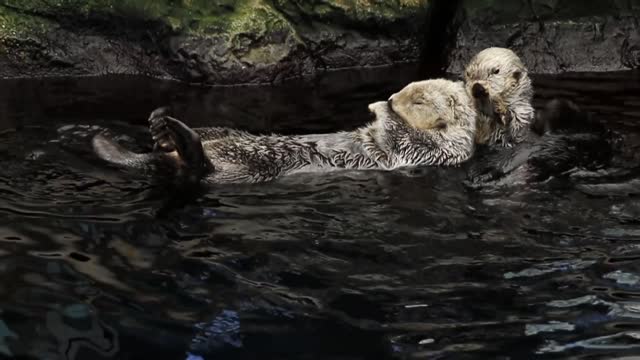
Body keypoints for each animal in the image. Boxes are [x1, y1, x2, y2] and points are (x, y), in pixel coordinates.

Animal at [92, 79, 478, 186]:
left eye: (419, 99)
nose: (395, 97)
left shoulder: (430, 149)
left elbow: (400, 137)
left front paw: (381, 108)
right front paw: (377, 105)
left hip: (245, 167)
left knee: (198, 169)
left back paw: (176, 136)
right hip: (225, 132)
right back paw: (160, 126)